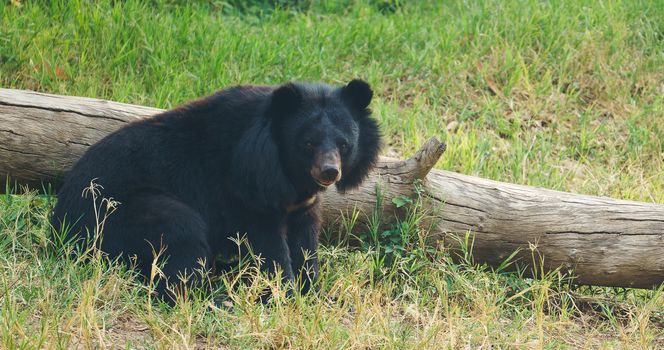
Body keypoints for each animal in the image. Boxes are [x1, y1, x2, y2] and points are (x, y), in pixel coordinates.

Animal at [52, 79, 382, 300]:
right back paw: (213, 297)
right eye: (308, 143)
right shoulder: (245, 189)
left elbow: (305, 242)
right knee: (180, 235)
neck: (287, 173)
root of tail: (61, 222)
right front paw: (283, 293)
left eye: (343, 144)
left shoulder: (301, 204)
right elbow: (269, 245)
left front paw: (314, 290)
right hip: (121, 213)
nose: (329, 172)